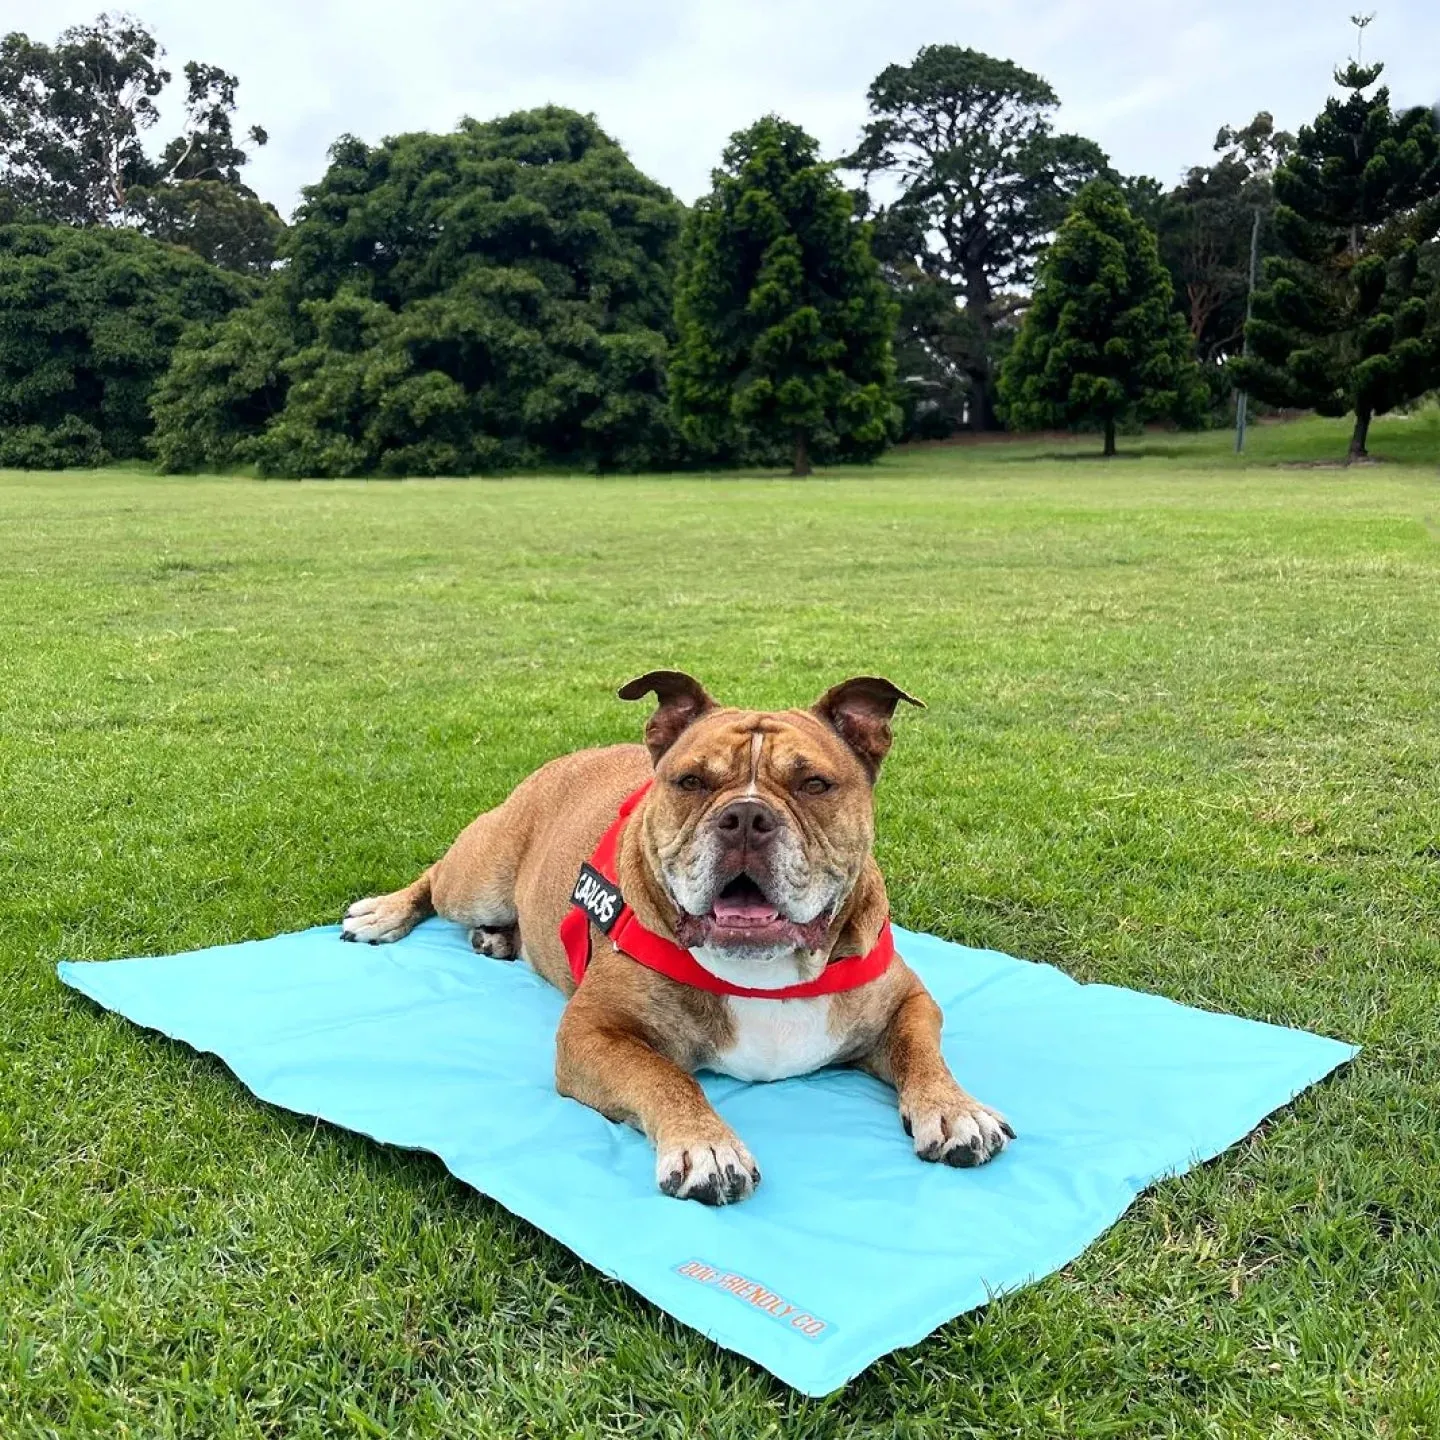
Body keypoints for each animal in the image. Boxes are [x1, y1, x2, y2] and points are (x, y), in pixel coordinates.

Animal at [338, 673, 1013, 1203]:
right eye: (691, 783)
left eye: (814, 785)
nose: (746, 815)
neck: (767, 973)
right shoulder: (593, 1034)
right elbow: (666, 1077)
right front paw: (707, 1146)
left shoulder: (909, 1003)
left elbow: (921, 1051)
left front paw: (954, 1108)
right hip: (480, 874)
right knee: (434, 880)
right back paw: (385, 914)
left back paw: (499, 940)